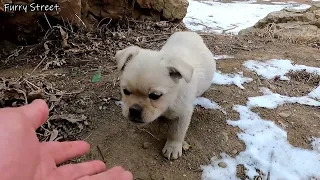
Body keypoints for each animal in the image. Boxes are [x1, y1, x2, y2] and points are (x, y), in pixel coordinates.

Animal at [114, 31, 216, 160]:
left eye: (155, 95)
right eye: (126, 91)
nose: (134, 110)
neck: (170, 100)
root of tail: (189, 32)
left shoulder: (183, 113)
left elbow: (176, 132)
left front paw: (173, 147)